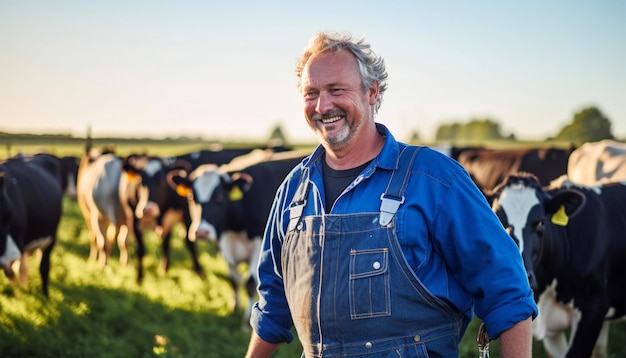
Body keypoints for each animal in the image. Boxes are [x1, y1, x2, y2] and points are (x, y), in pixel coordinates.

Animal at [169, 150, 308, 330]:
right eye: (193, 196)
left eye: (220, 196)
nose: (202, 232)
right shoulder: (224, 244)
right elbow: (234, 280)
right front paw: (234, 308)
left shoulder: (261, 245)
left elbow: (250, 282)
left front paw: (247, 321)